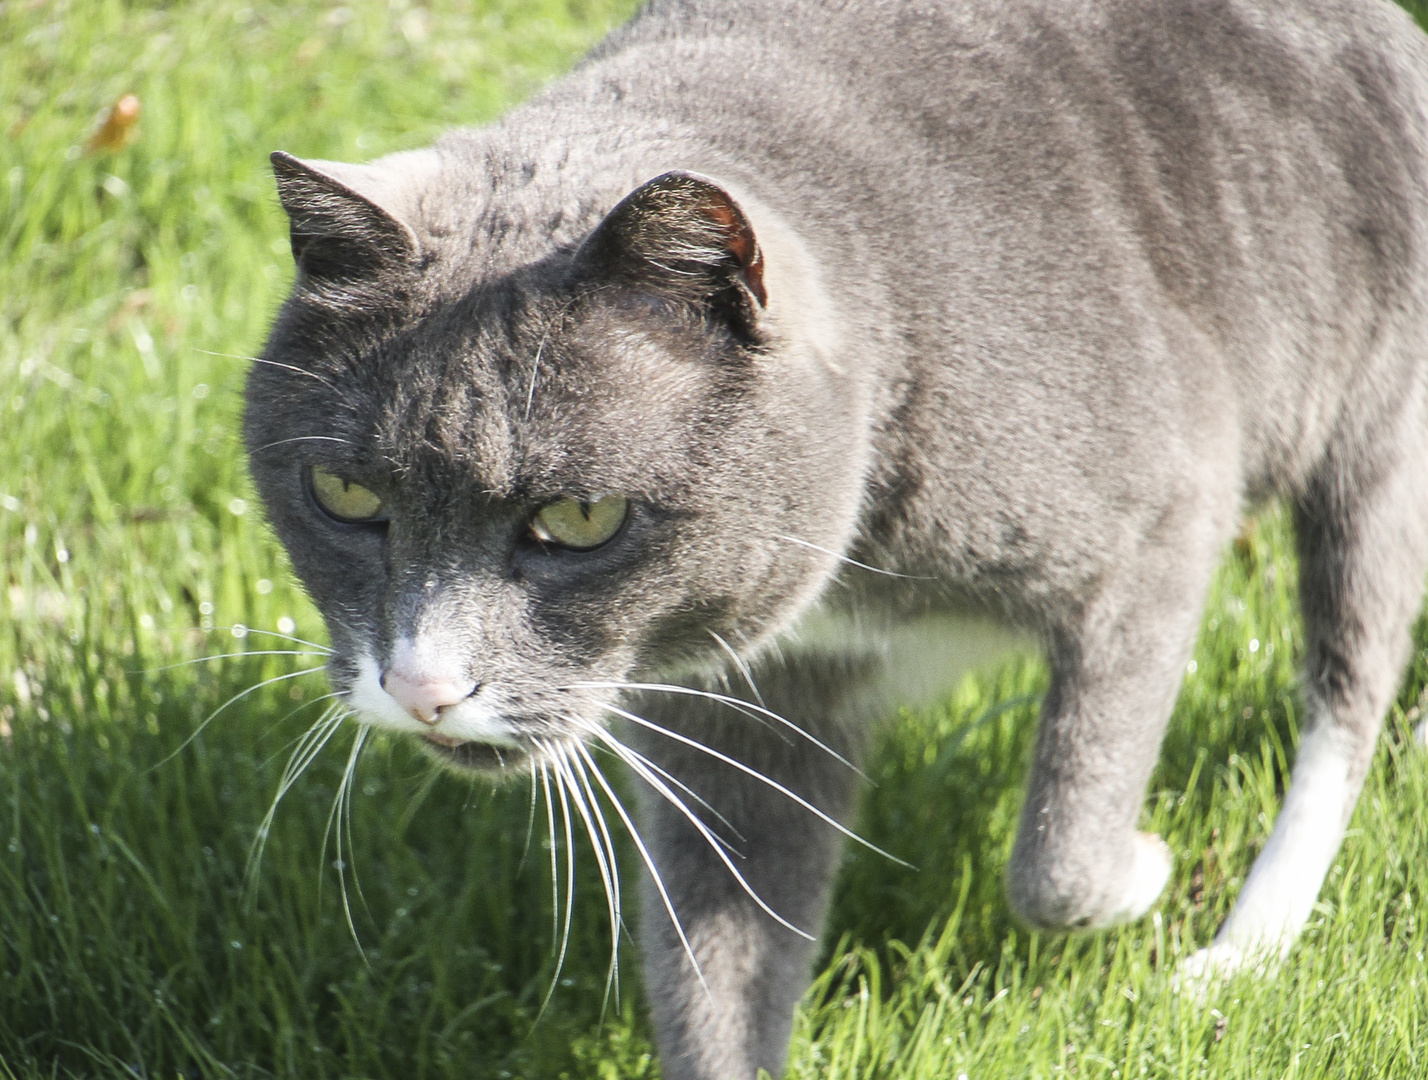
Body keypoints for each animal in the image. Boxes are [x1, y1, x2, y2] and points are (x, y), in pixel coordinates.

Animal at [242, 2, 1428, 1080]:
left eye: (579, 519)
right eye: (344, 494)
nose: (422, 686)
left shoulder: (1158, 527)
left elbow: (1057, 860)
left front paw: (1145, 865)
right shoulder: (736, 701)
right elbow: (719, 967)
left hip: (1377, 419)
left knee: (1347, 683)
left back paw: (1241, 954)